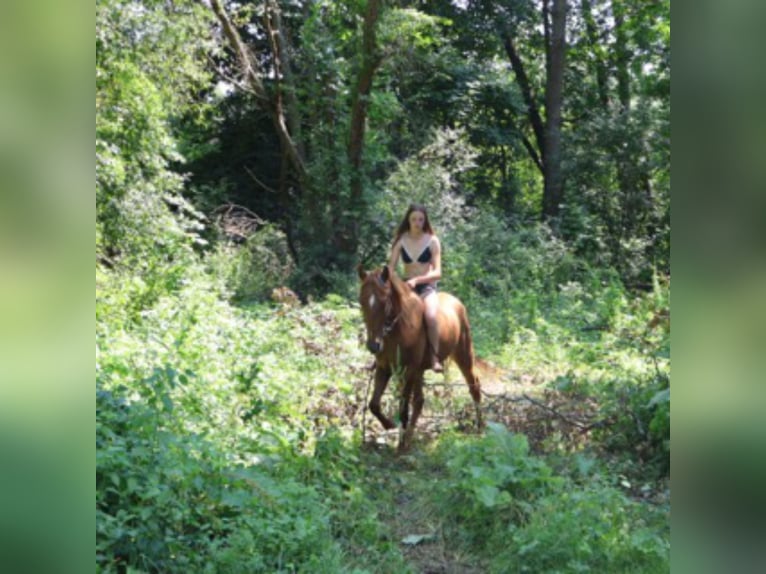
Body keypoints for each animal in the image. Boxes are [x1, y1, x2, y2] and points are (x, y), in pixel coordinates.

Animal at [357, 264, 482, 451]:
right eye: (362, 302)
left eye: (385, 302)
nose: (373, 346)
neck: (398, 329)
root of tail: (456, 302)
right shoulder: (385, 368)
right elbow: (374, 404)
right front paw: (390, 426)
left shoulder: (408, 370)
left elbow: (403, 408)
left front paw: (400, 445)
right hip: (420, 371)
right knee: (419, 401)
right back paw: (409, 436)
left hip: (463, 354)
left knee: (474, 385)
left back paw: (481, 427)